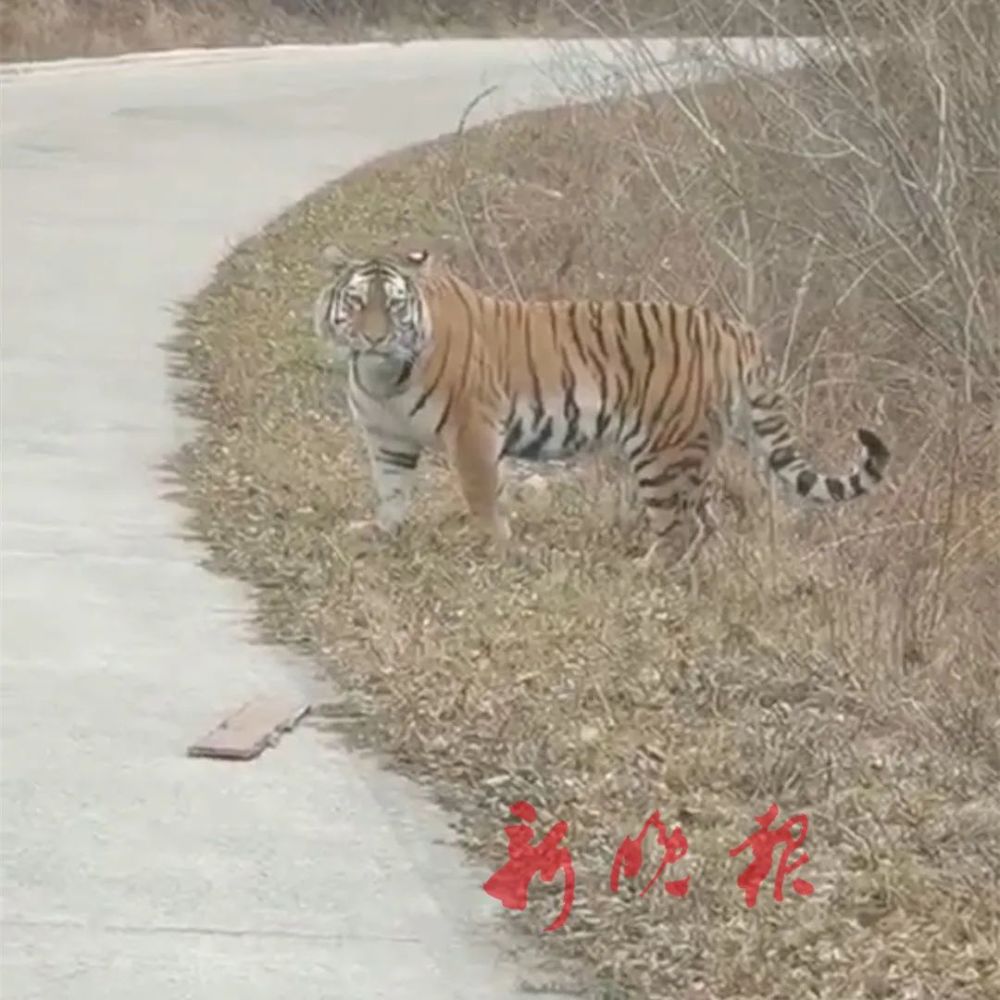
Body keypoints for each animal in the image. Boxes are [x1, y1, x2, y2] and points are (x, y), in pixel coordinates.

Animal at [312, 244, 890, 565]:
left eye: (395, 306)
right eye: (357, 303)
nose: (375, 338)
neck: (382, 377)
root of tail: (735, 329)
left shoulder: (473, 431)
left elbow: (481, 497)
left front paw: (495, 549)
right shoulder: (387, 440)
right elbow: (391, 492)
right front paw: (380, 534)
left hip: (663, 452)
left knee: (679, 527)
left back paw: (642, 571)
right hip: (692, 453)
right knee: (703, 523)